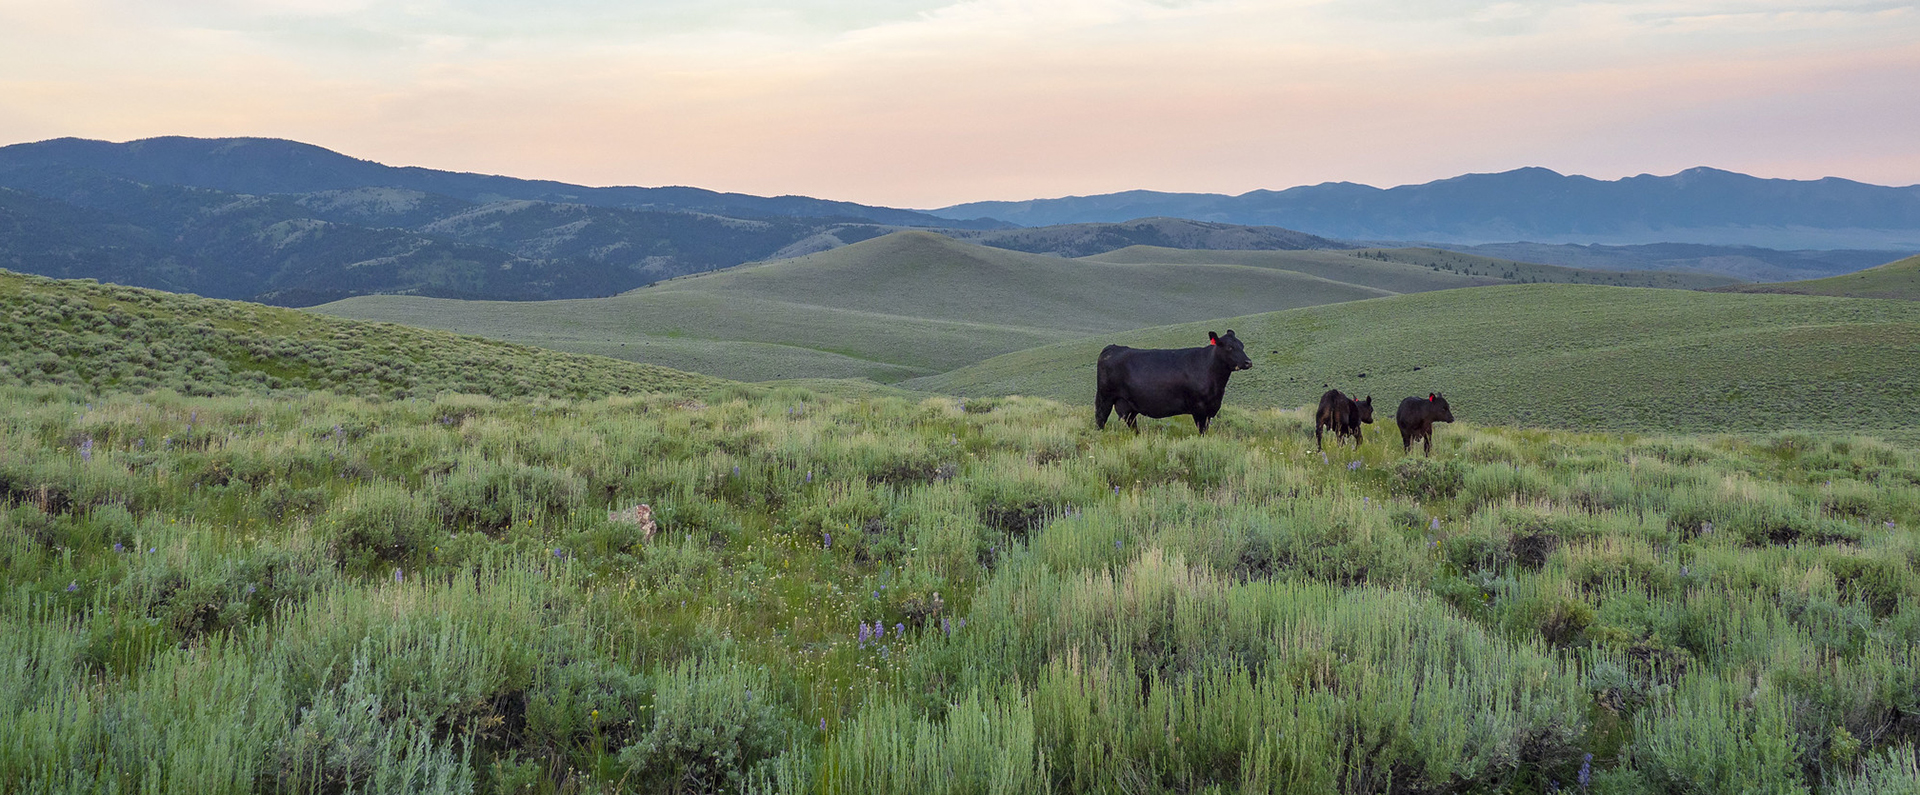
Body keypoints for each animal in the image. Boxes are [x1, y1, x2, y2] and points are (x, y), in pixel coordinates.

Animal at [1098, 328, 1259, 433]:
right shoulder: (1199, 408)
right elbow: (1202, 431)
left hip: (1128, 404)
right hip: (1105, 397)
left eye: (1242, 345)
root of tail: (1112, 347)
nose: (1248, 362)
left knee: (1131, 422)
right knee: (1101, 418)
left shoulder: (1211, 407)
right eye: (1230, 347)